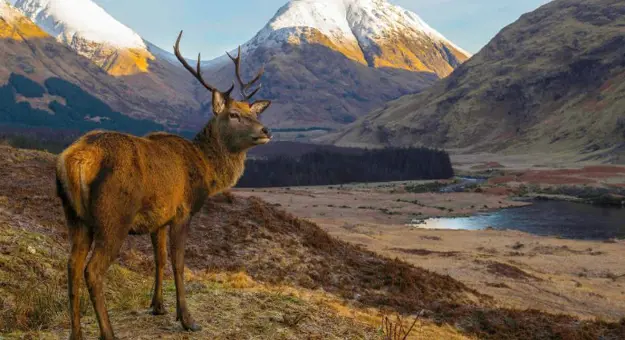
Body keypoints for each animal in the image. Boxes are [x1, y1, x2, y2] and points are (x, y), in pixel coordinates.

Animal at [57, 30, 272, 338]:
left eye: (255, 113)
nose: (266, 130)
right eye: (234, 114)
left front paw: (158, 306)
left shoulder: (158, 217)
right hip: (113, 216)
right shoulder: (182, 210)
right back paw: (108, 332)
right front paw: (187, 318)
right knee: (92, 270)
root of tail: (76, 160)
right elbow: (178, 262)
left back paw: (76, 333)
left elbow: (158, 259)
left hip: (75, 217)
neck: (206, 169)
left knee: (72, 265)